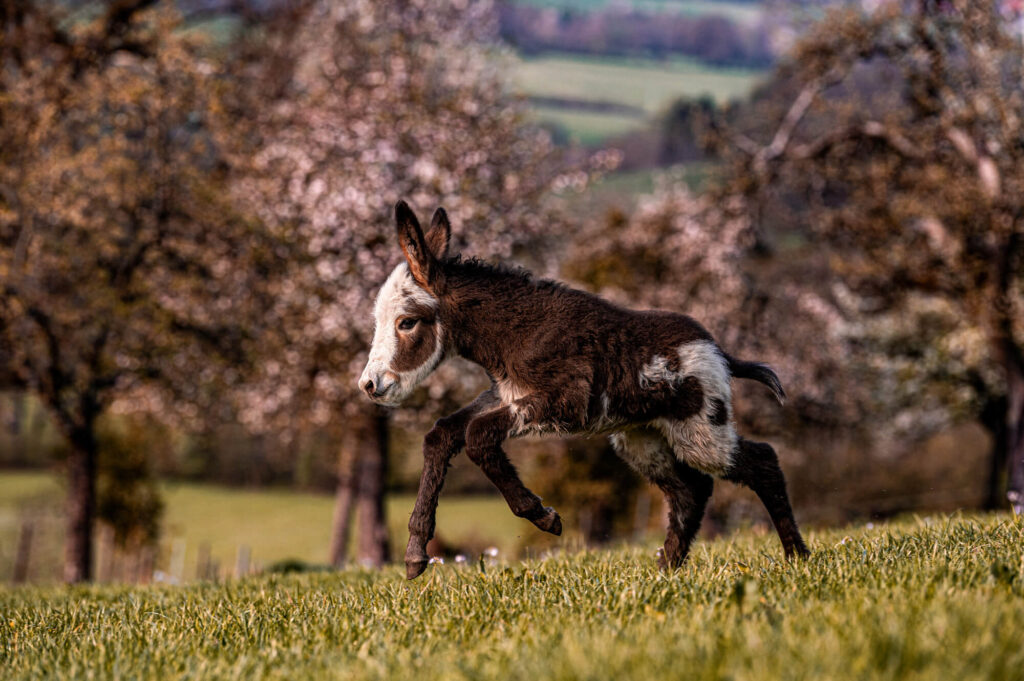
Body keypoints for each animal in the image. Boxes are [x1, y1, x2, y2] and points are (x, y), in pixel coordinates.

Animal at [360, 201, 806, 577]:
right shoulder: (503, 395)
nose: (369, 385)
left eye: (406, 322)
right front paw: (415, 554)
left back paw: (797, 557)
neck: (519, 331)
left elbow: (478, 436)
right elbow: (442, 435)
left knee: (761, 462)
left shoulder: (562, 401)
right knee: (691, 492)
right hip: (645, 439)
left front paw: (543, 516)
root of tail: (718, 350)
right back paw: (665, 571)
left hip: (700, 429)